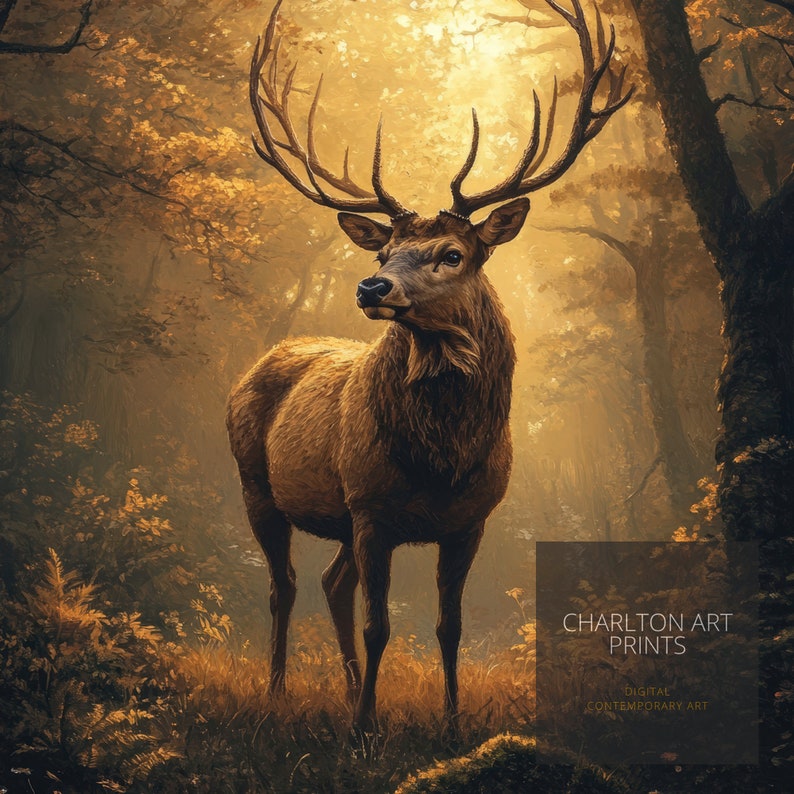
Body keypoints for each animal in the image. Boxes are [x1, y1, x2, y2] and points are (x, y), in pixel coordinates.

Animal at [227, 0, 631, 750]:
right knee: (284, 585)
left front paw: (450, 722)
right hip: (257, 485)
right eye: (384, 250)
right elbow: (381, 624)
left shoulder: (468, 520)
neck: (442, 458)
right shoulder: (371, 507)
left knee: (330, 582)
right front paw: (364, 732)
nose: (371, 286)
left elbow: (449, 627)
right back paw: (278, 694)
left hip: (336, 516)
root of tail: (256, 364)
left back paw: (345, 690)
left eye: (452, 253)